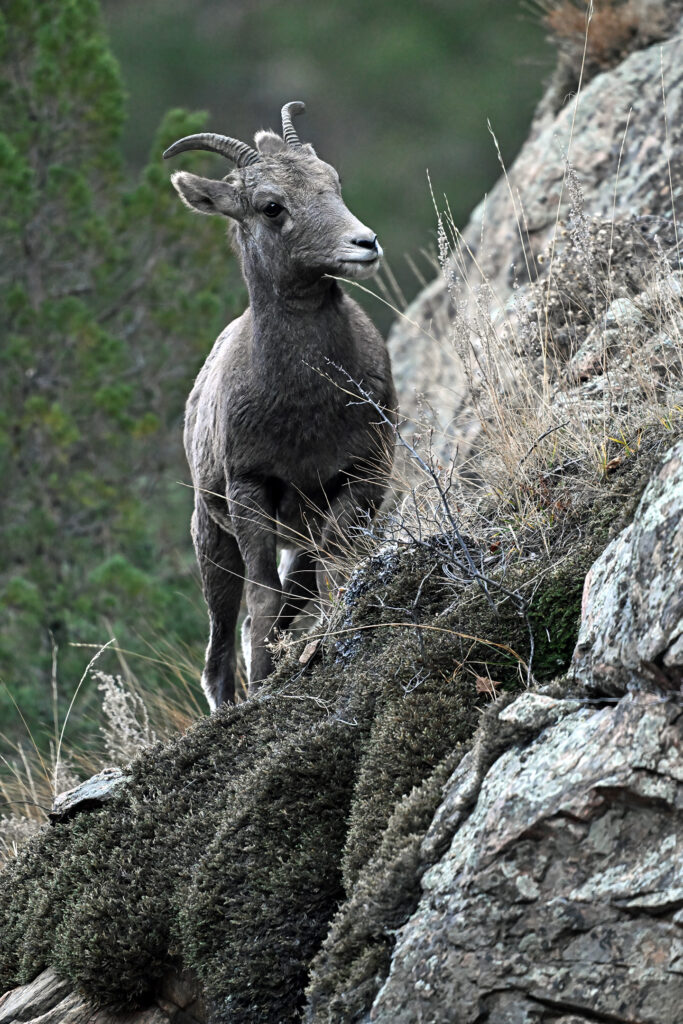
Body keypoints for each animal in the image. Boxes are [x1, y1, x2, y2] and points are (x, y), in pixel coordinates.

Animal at [165, 99, 397, 708]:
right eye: (272, 207)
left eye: (333, 182)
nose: (364, 244)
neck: (306, 411)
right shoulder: (252, 489)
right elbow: (264, 596)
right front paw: (267, 684)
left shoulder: (362, 477)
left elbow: (335, 568)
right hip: (212, 542)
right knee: (225, 639)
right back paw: (231, 702)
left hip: (295, 534)